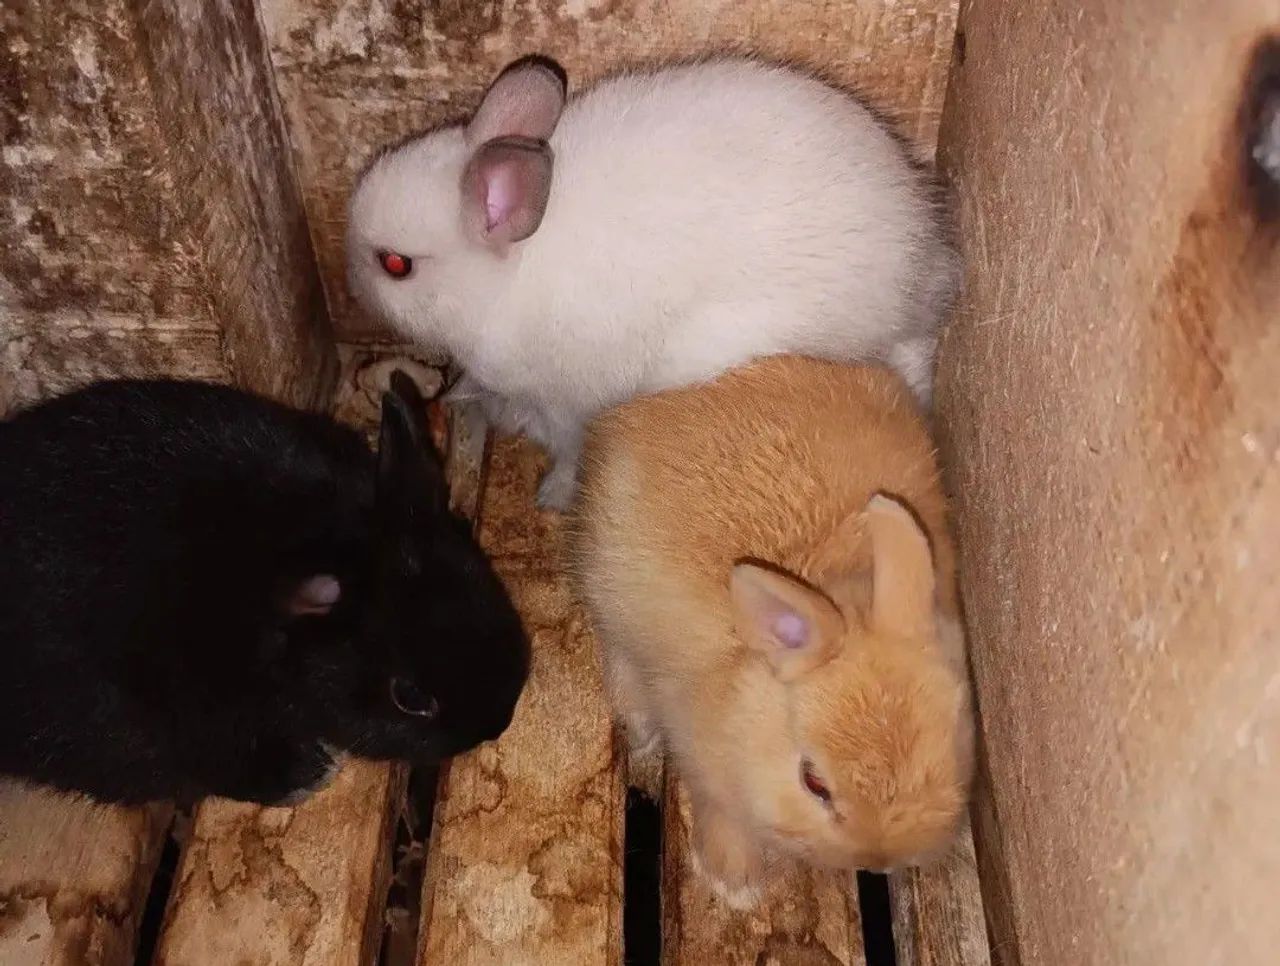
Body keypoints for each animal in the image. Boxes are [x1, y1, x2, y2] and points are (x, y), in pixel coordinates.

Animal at [347, 55, 959, 510]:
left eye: (395, 265)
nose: (350, 279)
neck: (507, 277)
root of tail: (916, 265)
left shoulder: (568, 403)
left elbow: (569, 451)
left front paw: (553, 496)